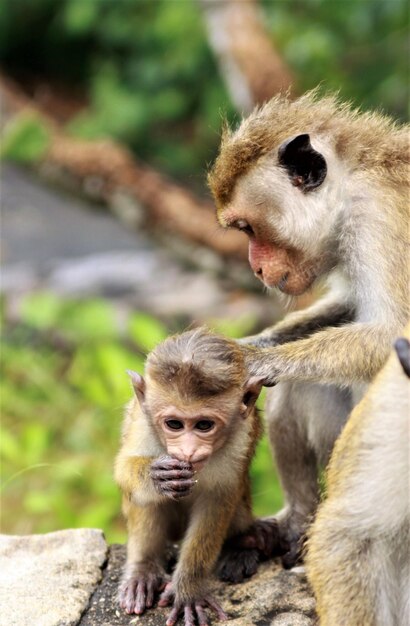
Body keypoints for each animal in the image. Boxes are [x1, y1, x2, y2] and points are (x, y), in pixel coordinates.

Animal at [114, 326, 266, 624]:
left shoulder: (240, 435)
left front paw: (188, 588)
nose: (188, 451)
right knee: (144, 499)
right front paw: (155, 476)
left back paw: (243, 545)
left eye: (204, 425)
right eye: (174, 424)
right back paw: (143, 570)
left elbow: (217, 500)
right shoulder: (142, 419)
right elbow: (123, 468)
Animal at [210, 89, 408, 564]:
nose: (256, 268)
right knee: (304, 384)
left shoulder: (379, 220)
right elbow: (348, 304)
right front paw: (255, 342)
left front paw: (252, 360)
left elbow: (396, 331)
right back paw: (296, 520)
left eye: (247, 227)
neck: (353, 184)